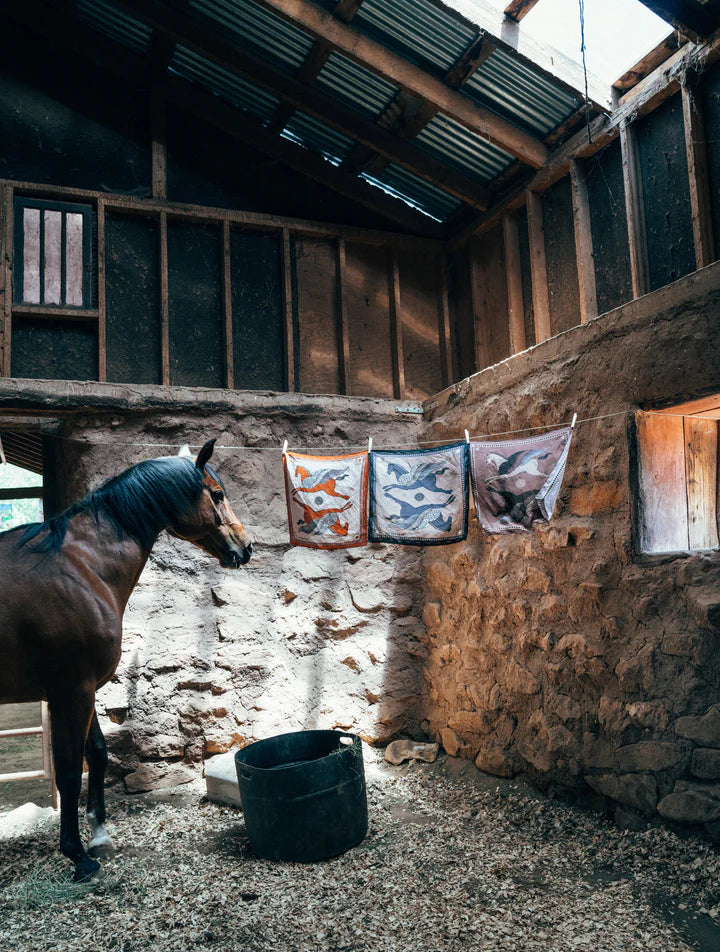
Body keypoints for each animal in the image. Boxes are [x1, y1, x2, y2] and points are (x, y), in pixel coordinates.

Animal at [0, 436, 253, 880]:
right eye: (218, 494)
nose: (246, 546)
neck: (82, 568)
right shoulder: (70, 691)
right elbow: (70, 771)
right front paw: (78, 855)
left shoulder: (84, 689)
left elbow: (98, 755)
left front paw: (99, 835)